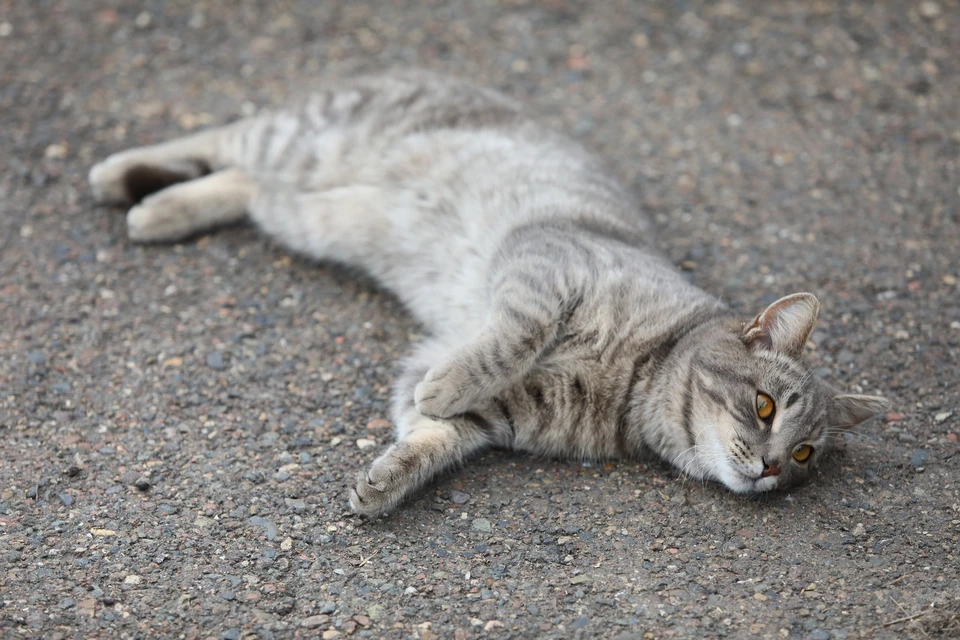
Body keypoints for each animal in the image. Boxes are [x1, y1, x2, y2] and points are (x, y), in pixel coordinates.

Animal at [86, 70, 888, 516]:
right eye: (764, 406)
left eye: (807, 455)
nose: (773, 468)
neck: (639, 379)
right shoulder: (544, 267)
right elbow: (506, 340)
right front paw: (445, 387)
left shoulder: (503, 410)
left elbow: (432, 435)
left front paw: (388, 477)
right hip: (305, 138)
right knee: (226, 136)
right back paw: (123, 178)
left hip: (302, 207)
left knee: (246, 186)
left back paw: (158, 204)